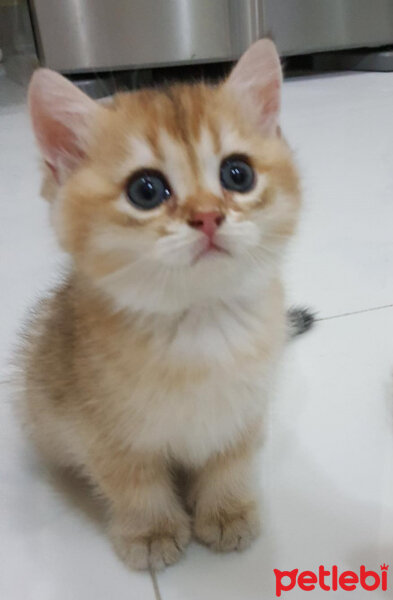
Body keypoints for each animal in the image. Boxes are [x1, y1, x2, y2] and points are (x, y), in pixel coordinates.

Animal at [20, 39, 304, 568]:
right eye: (146, 190)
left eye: (238, 174)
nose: (209, 216)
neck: (200, 327)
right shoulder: (103, 433)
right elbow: (134, 483)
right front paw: (151, 531)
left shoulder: (243, 413)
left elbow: (230, 463)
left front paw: (227, 511)